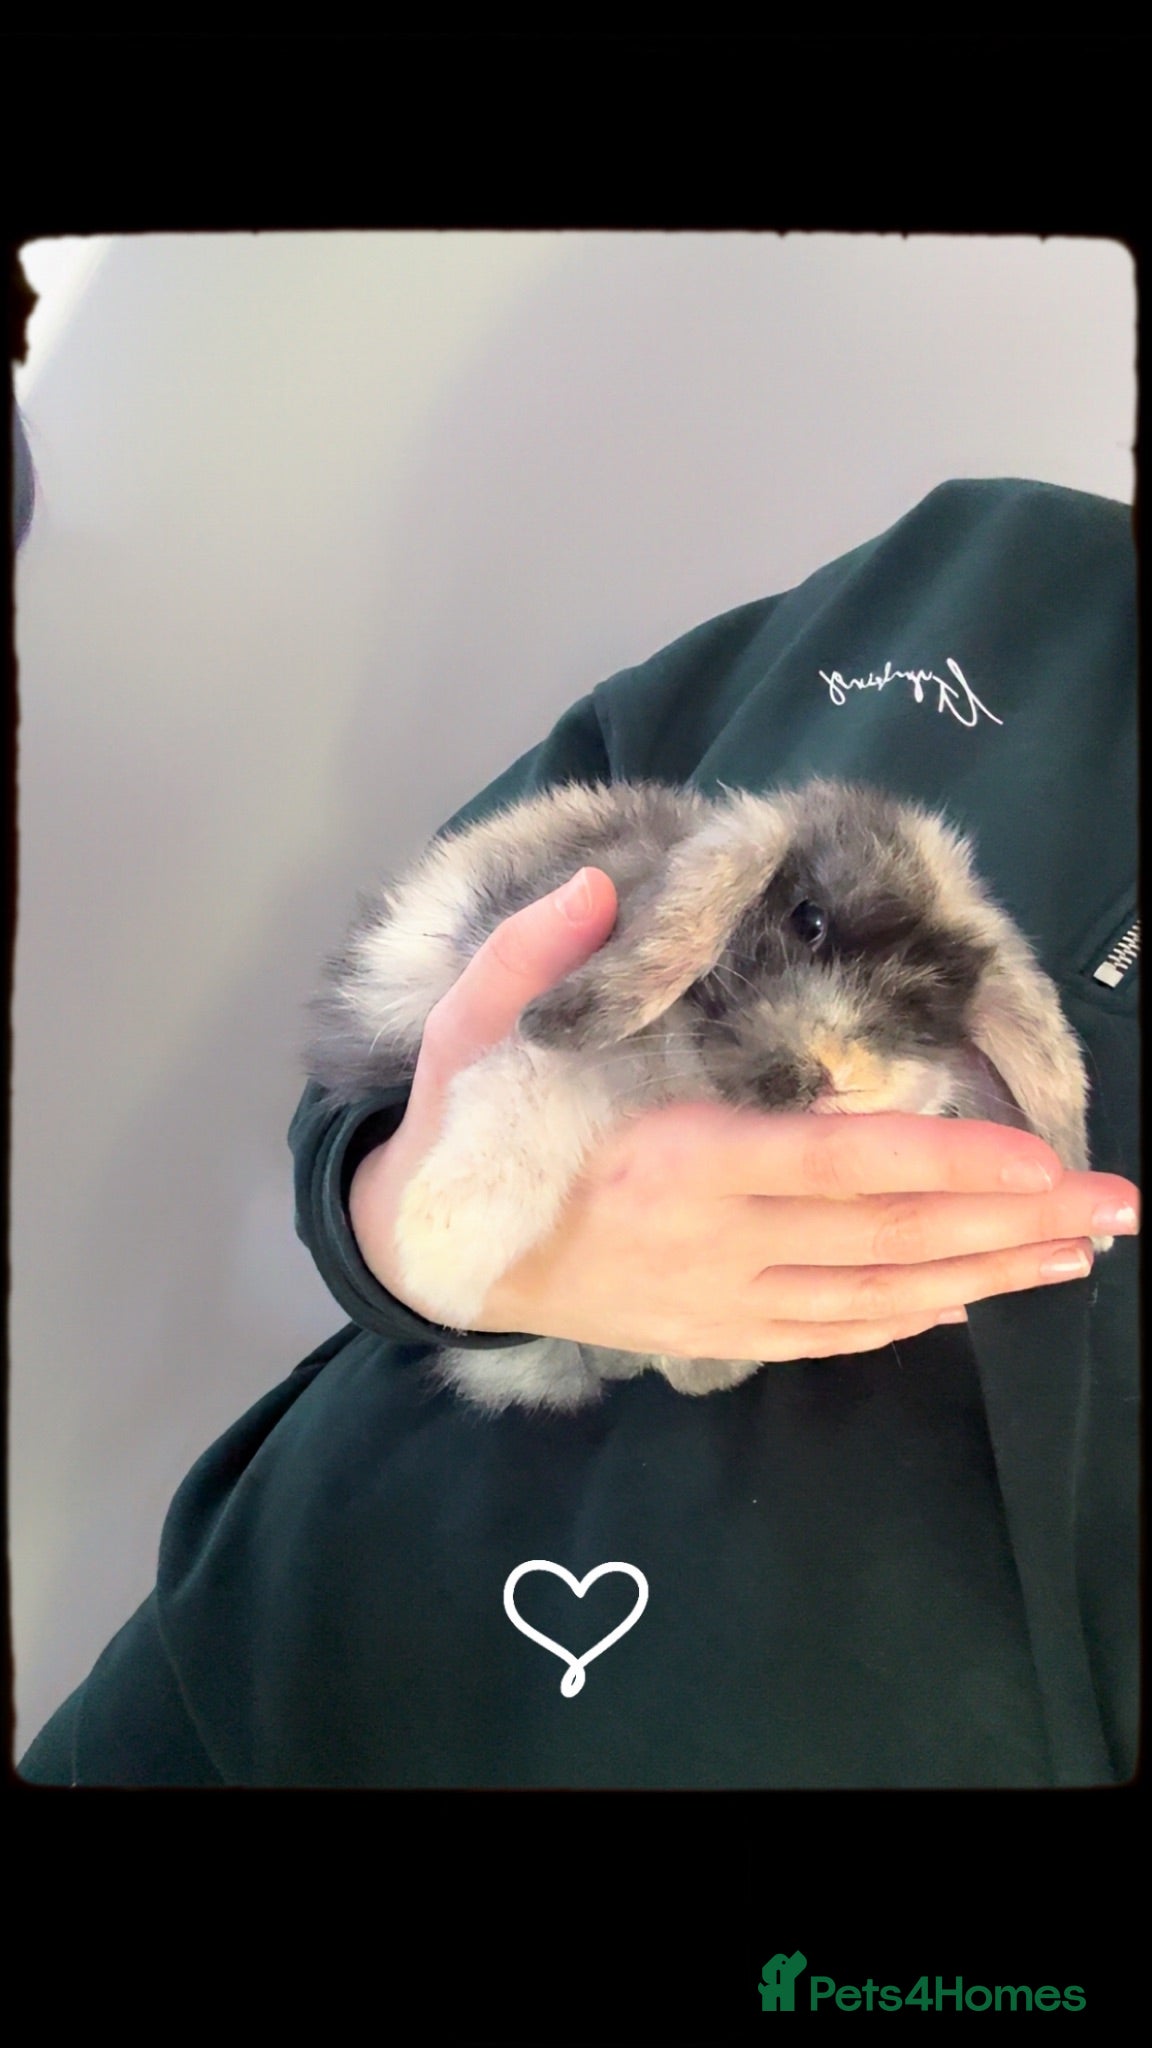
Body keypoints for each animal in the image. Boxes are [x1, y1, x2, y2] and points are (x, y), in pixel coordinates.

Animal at [306, 777, 1106, 1414]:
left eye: (926, 1018)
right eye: (808, 920)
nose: (832, 1075)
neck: (684, 1068)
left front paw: (707, 1369)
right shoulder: (535, 1051)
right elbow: (522, 1100)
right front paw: (439, 1254)